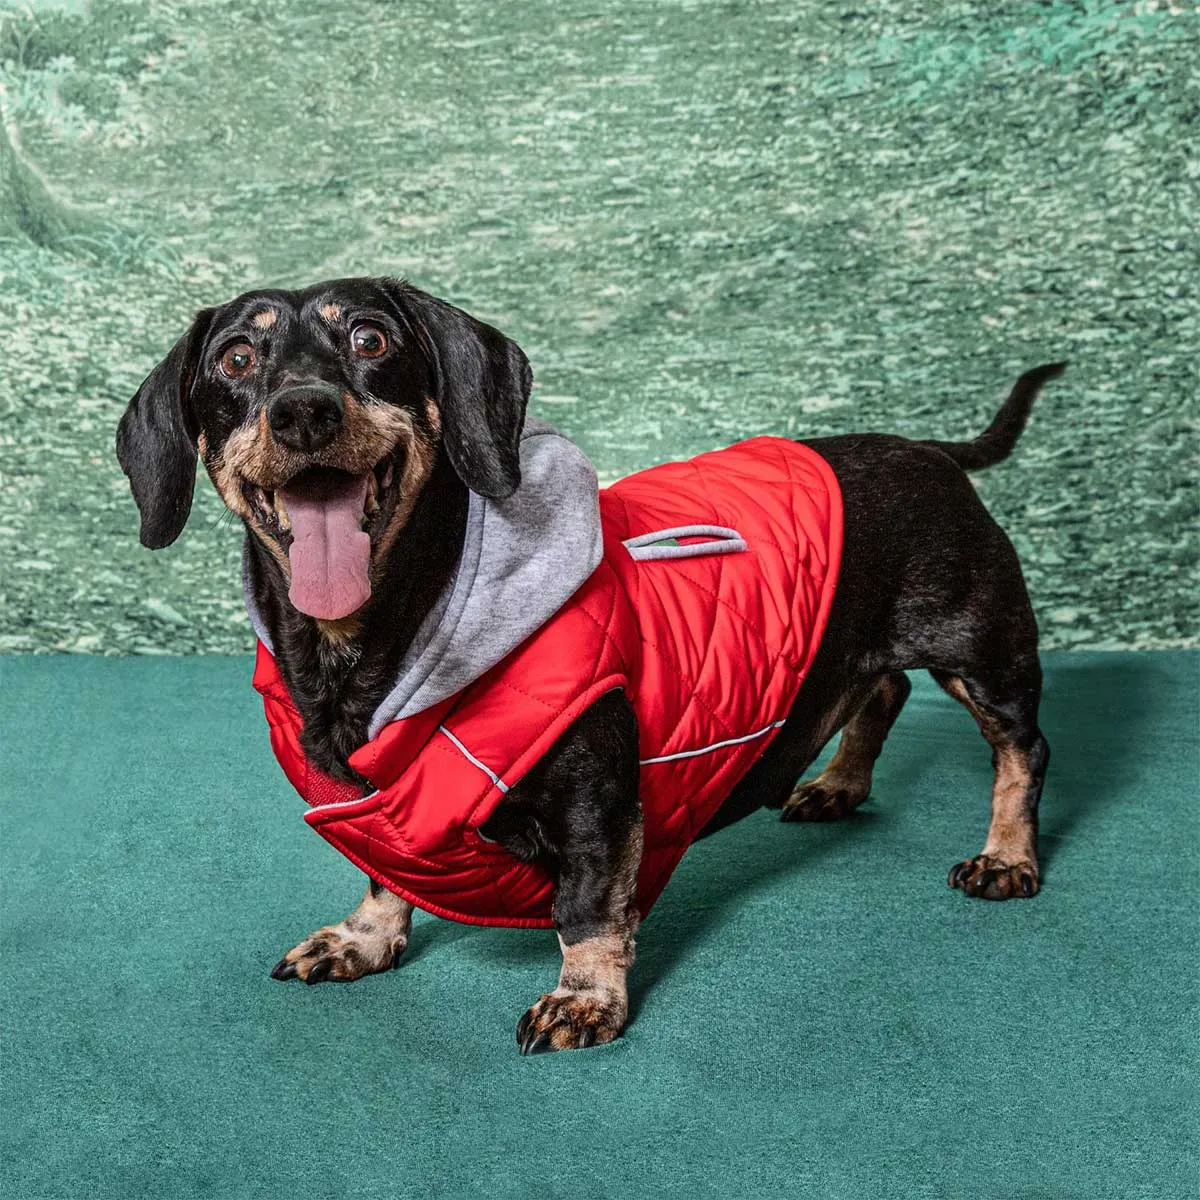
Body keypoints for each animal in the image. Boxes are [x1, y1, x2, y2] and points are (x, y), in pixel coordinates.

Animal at [114, 278, 1070, 1051]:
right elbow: (383, 870)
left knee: (1022, 748)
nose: (302, 411)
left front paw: (583, 999)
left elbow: (586, 909)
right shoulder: (377, 801)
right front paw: (364, 938)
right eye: (238, 357)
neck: (370, 640)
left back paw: (1006, 856)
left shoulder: (598, 800)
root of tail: (931, 449)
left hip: (981, 651)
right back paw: (838, 785)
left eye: (371, 340)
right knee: (884, 686)